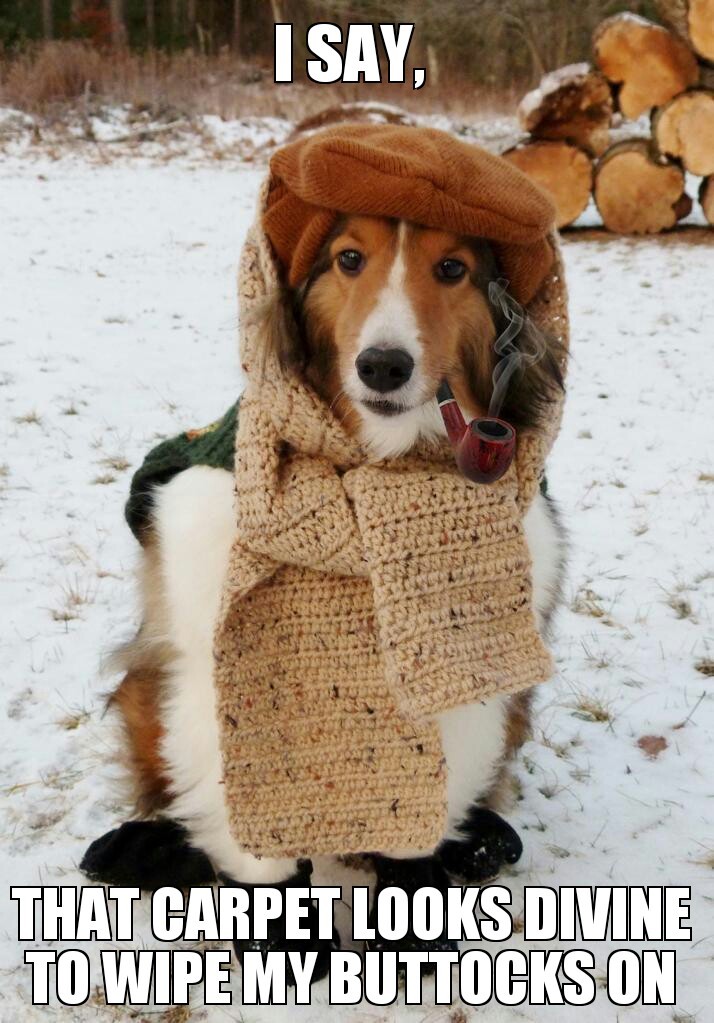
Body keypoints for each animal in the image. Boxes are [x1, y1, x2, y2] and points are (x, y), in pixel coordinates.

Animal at [81, 213, 560, 965]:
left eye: (452, 269)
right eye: (349, 259)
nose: (383, 365)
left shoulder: (468, 691)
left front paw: (414, 915)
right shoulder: (215, 689)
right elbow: (256, 843)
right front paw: (283, 941)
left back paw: (484, 841)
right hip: (146, 687)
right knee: (165, 796)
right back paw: (139, 847)